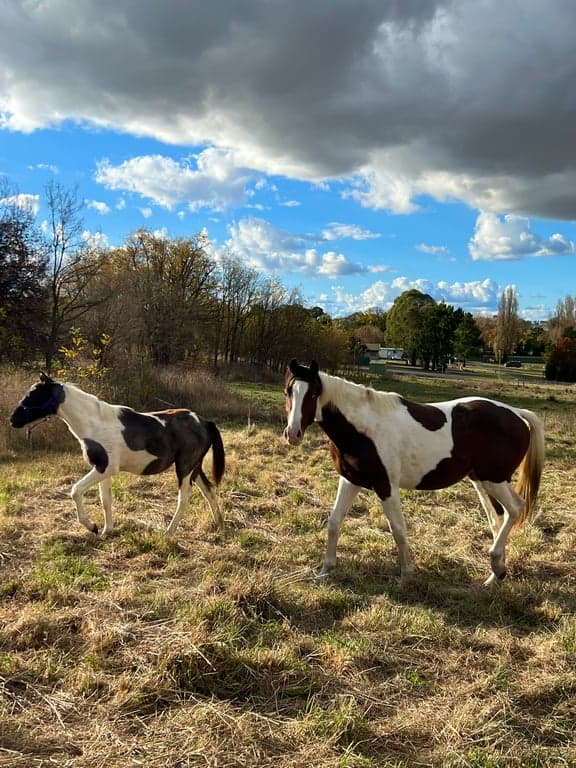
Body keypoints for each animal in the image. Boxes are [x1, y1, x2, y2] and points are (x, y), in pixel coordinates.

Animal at [10, 373, 225, 538]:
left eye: (33, 394)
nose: (13, 420)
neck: (95, 423)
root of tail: (204, 422)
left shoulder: (105, 467)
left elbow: (76, 491)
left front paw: (92, 526)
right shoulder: (102, 470)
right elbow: (106, 500)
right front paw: (106, 531)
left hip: (184, 468)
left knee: (184, 499)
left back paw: (168, 533)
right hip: (194, 468)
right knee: (209, 491)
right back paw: (218, 524)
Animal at [283, 359, 545, 586]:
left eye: (313, 393)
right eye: (288, 391)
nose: (293, 434)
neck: (363, 429)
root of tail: (517, 413)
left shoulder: (386, 485)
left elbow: (398, 529)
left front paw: (406, 576)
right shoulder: (350, 480)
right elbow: (334, 521)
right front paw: (325, 571)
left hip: (494, 480)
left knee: (515, 509)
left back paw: (496, 564)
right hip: (481, 481)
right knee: (497, 519)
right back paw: (493, 577)